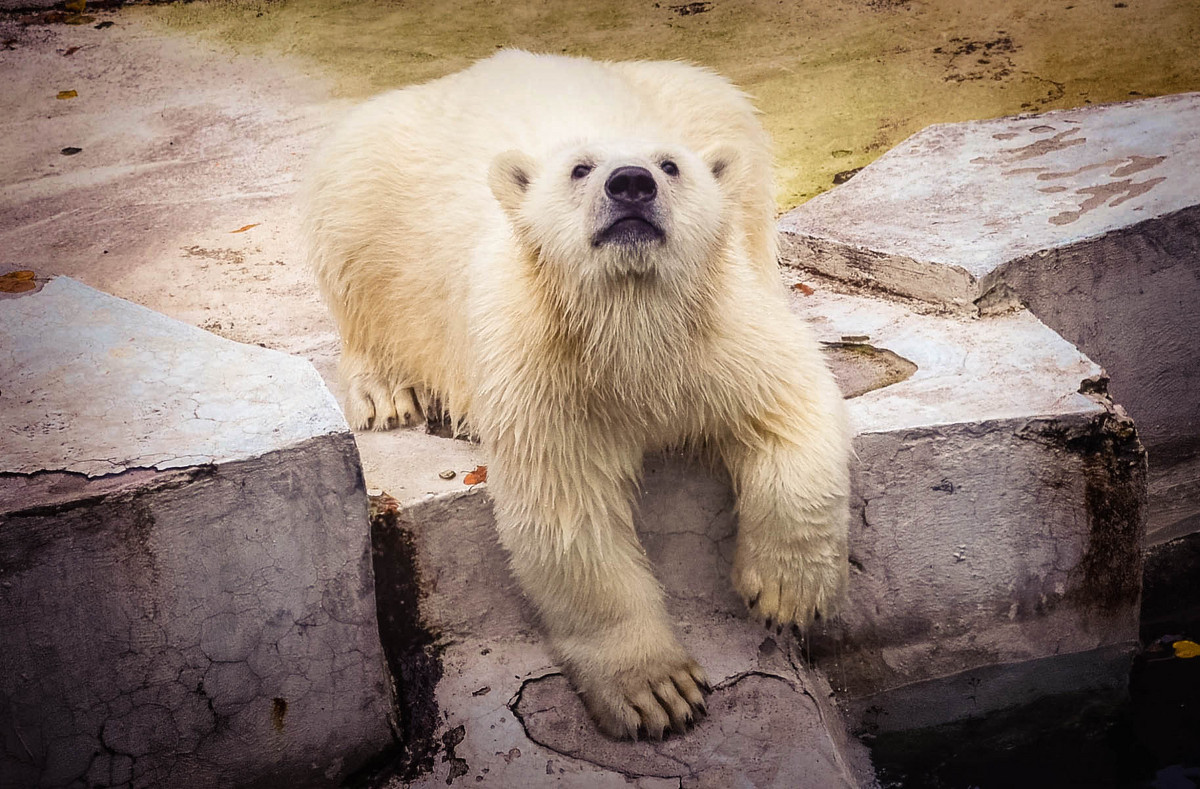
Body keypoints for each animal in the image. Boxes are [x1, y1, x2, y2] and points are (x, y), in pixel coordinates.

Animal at [309, 49, 854, 738]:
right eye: (579, 168)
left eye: (670, 164)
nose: (631, 183)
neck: (629, 323)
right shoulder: (542, 370)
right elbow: (565, 510)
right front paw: (657, 691)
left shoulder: (724, 336)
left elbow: (793, 408)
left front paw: (787, 593)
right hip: (371, 177)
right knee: (353, 249)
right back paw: (388, 392)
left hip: (703, 104)